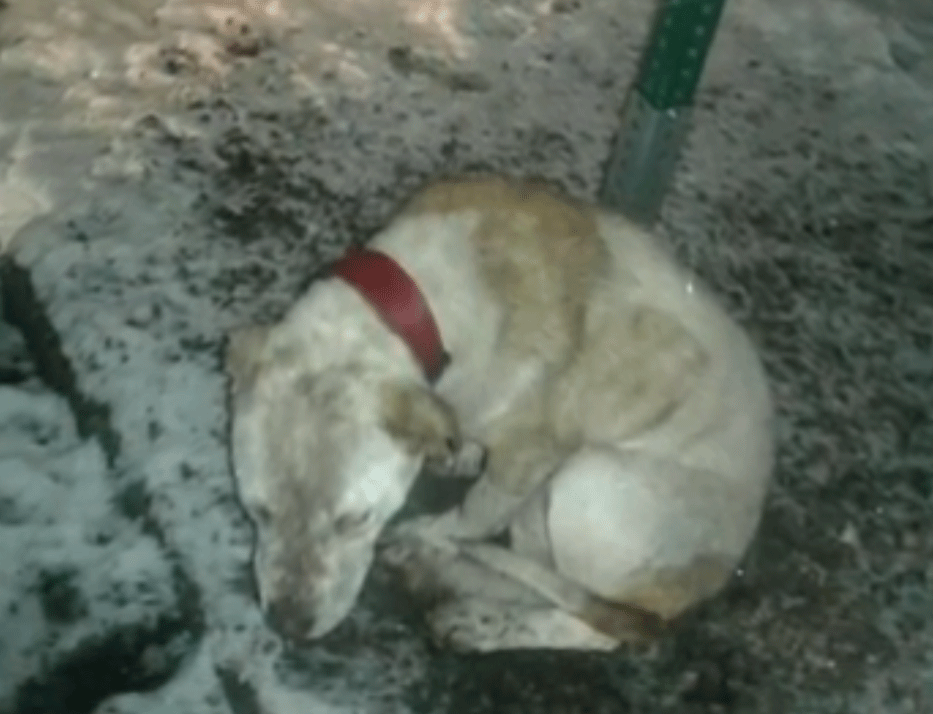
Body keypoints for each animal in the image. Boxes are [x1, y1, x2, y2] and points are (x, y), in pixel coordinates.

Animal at [226, 177, 772, 652]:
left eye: (356, 519)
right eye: (257, 510)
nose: (289, 625)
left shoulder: (527, 459)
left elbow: (472, 515)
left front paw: (430, 530)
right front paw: (456, 455)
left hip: (585, 485)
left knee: (590, 624)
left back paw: (474, 613)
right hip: (546, 514)